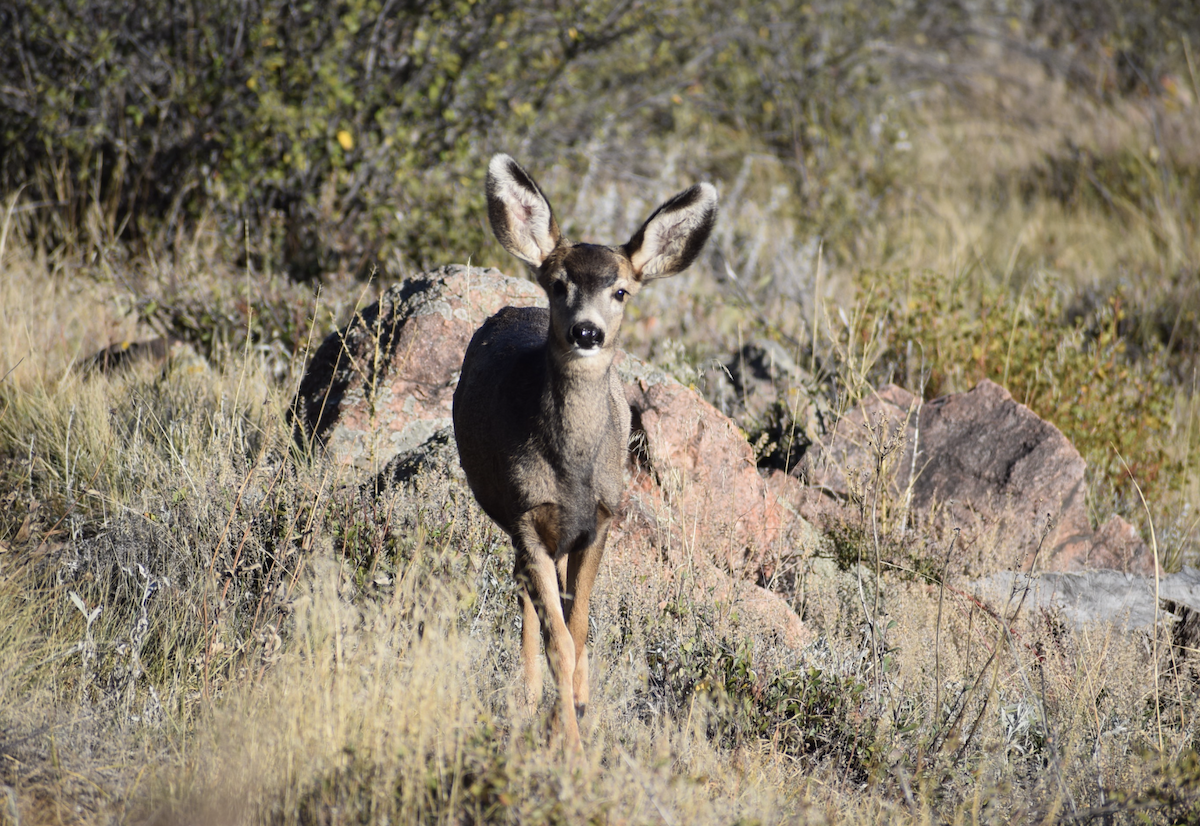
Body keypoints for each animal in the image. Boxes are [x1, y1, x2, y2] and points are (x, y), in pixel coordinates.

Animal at [452, 154, 718, 748]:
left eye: (621, 291)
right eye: (557, 284)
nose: (587, 332)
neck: (571, 471)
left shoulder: (601, 519)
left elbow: (579, 632)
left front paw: (576, 713)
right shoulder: (526, 516)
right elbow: (560, 640)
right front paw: (567, 739)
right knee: (526, 599)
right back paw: (528, 700)